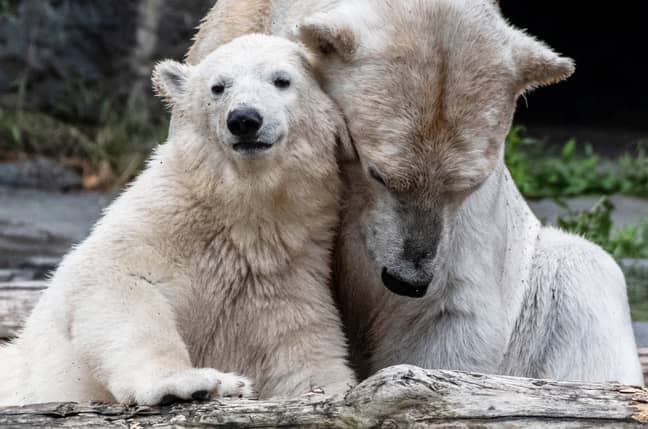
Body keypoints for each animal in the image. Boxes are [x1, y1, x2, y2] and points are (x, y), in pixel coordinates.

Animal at [0, 34, 354, 404]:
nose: (244, 119)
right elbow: (115, 279)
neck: (242, 211)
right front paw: (196, 381)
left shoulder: (286, 276)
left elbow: (305, 354)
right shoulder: (162, 217)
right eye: (218, 87)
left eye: (282, 80)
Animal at [186, 0, 644, 382]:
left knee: (582, 270)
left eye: (468, 185)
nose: (408, 280)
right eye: (378, 173)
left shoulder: (465, 228)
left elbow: (446, 315)